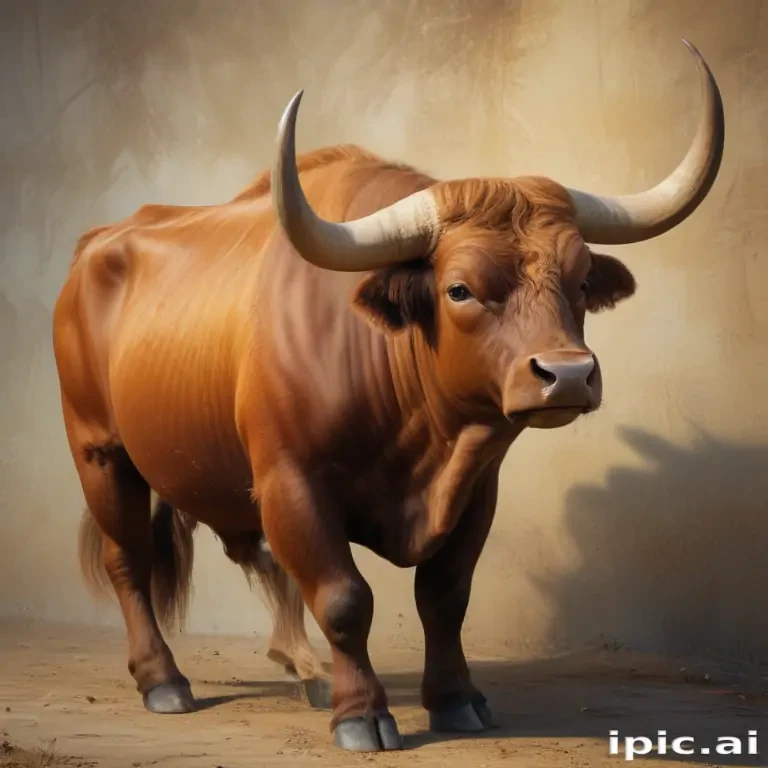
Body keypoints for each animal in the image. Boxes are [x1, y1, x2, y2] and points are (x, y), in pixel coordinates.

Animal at [52, 39, 723, 752]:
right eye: (459, 289)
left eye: (582, 279)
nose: (567, 375)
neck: (421, 436)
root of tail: (96, 247)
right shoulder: (292, 482)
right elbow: (345, 598)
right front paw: (361, 714)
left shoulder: (476, 489)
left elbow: (445, 596)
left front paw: (456, 699)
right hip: (101, 452)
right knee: (129, 560)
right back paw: (164, 680)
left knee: (250, 556)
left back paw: (303, 668)